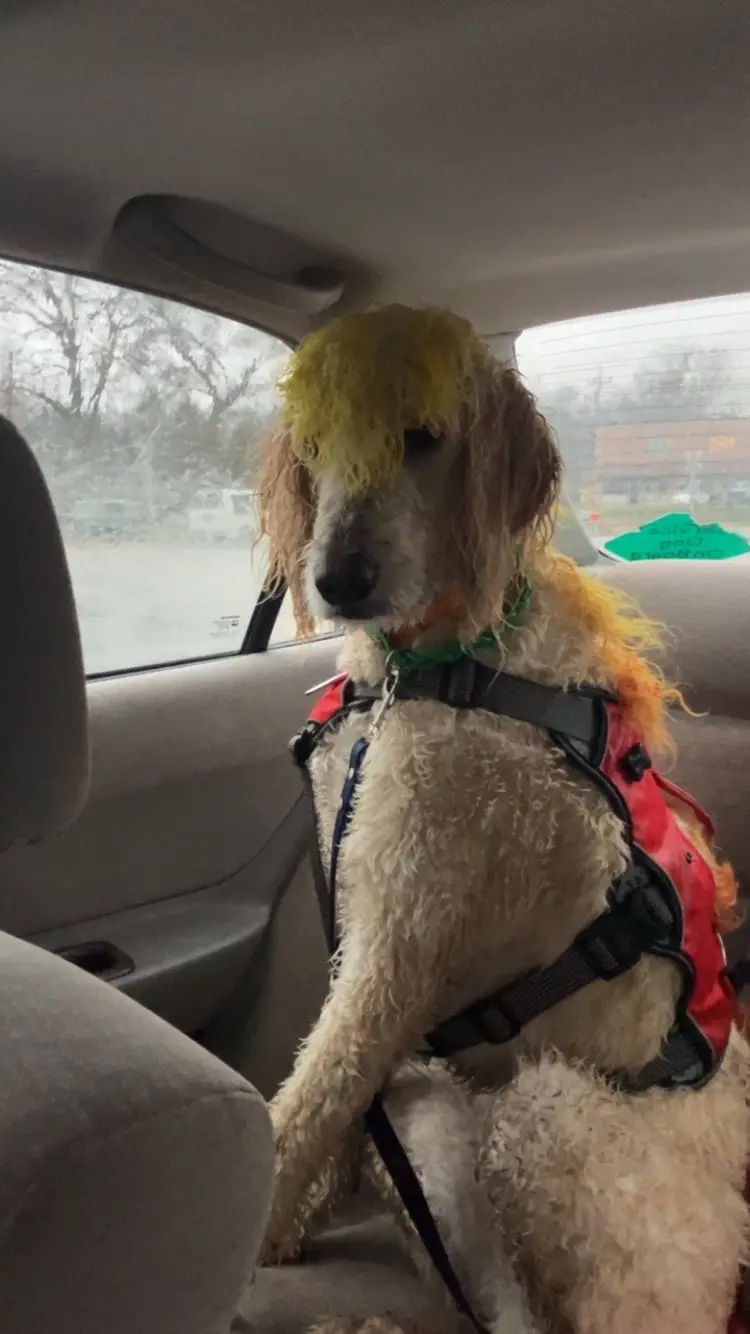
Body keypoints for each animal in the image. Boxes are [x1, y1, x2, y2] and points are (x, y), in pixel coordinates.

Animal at [253, 305, 741, 1334]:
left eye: (423, 438)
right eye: (316, 445)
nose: (339, 578)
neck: (439, 662)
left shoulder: (402, 931)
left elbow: (309, 1099)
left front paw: (248, 1233)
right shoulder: (365, 923)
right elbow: (335, 1090)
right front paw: (298, 1214)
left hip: (551, 1113)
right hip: (442, 1111)